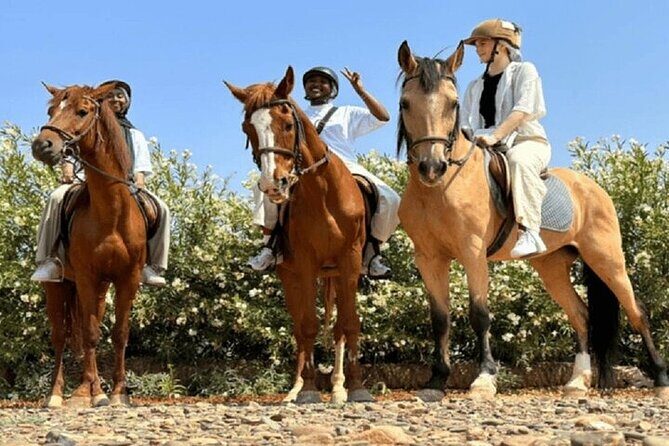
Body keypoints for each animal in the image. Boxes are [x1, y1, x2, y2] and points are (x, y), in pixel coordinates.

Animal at [31, 82, 147, 407]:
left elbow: (120, 333)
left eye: (82, 112)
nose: (42, 145)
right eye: (51, 110)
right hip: (57, 286)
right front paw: (93, 393)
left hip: (100, 288)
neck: (111, 214)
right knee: (62, 336)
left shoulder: (127, 279)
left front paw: (119, 393)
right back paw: (60, 394)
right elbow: (90, 333)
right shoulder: (85, 277)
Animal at [225, 66, 373, 403]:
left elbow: (349, 323)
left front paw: (356, 387)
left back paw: (338, 387)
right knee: (298, 328)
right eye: (247, 129)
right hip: (290, 274)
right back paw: (295, 388)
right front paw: (307, 390)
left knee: (337, 328)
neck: (322, 191)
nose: (273, 184)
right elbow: (307, 325)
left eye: (288, 124)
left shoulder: (349, 261)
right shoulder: (304, 264)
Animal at [395, 40, 669, 401]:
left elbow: (479, 314)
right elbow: (440, 318)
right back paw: (577, 381)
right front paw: (436, 380)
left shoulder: (472, 253)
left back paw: (661, 377)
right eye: (405, 103)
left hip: (606, 259)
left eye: (453, 104)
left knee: (637, 311)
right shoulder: (429, 258)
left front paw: (484, 378)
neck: (440, 189)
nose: (432, 167)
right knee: (580, 315)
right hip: (551, 266)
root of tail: (595, 188)